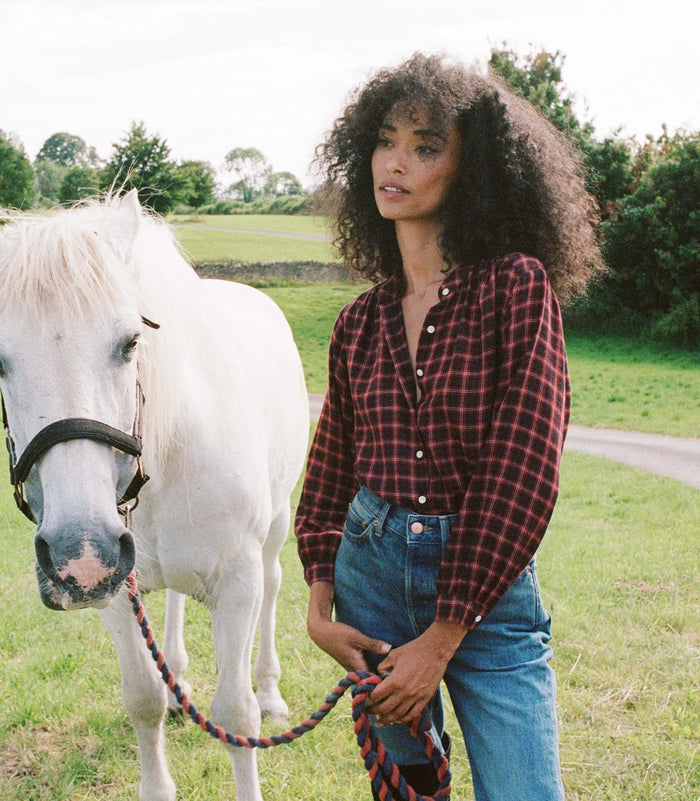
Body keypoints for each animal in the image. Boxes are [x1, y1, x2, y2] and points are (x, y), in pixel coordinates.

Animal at [0, 191, 308, 796]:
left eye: (130, 343)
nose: (80, 554)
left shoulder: (237, 583)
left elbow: (237, 716)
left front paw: (253, 707)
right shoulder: (117, 590)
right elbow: (142, 701)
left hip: (275, 529)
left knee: (275, 586)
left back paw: (271, 689)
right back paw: (179, 678)